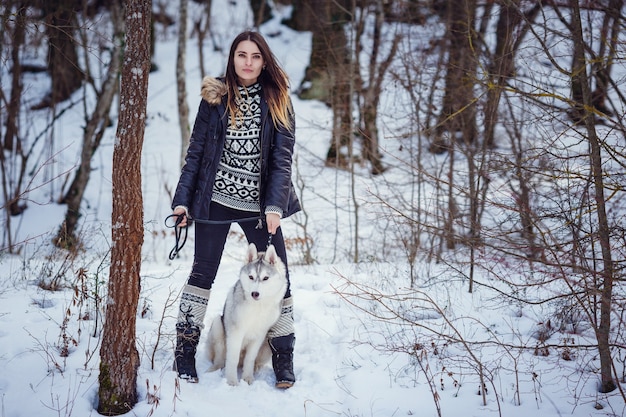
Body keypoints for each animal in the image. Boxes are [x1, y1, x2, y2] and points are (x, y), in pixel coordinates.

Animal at [206, 242, 286, 386]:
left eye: (265, 278)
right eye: (251, 277)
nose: (255, 293)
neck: (257, 307)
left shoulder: (260, 335)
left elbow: (250, 359)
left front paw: (247, 377)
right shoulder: (236, 333)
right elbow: (232, 358)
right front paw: (232, 380)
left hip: (267, 343)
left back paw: (255, 368)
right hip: (217, 326)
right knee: (220, 359)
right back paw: (215, 369)